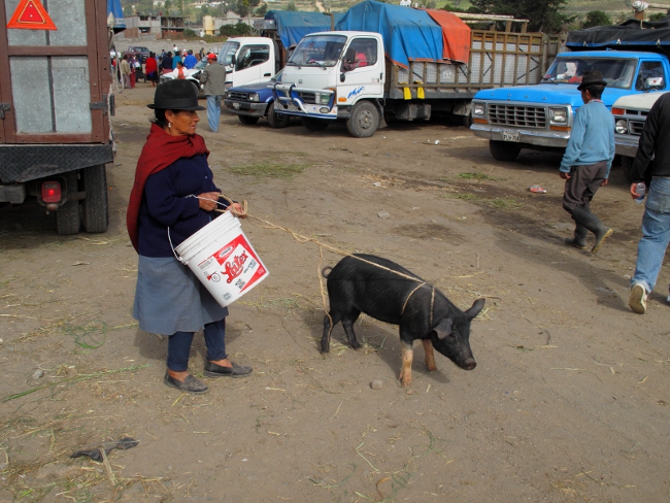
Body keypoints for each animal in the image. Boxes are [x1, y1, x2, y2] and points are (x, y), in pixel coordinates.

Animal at [322, 254, 486, 388]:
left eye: (467, 335)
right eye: (452, 336)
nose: (472, 363)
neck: (432, 317)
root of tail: (334, 269)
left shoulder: (427, 333)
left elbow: (429, 348)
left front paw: (433, 369)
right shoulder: (406, 329)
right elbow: (408, 356)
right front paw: (406, 385)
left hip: (355, 307)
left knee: (347, 321)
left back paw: (359, 347)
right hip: (338, 301)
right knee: (328, 320)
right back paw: (325, 352)